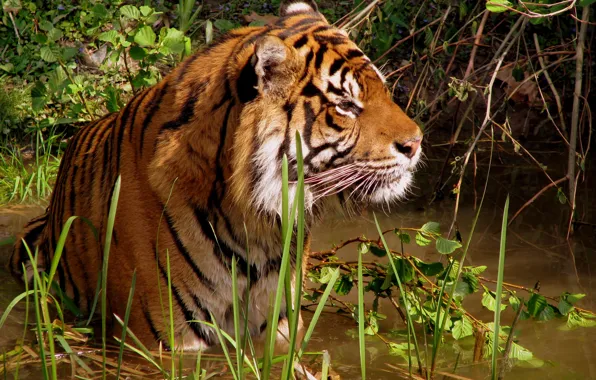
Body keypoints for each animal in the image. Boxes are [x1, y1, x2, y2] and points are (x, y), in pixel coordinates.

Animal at [7, 0, 422, 350]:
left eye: (383, 90)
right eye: (346, 104)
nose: (416, 142)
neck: (257, 223)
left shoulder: (280, 328)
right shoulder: (162, 340)